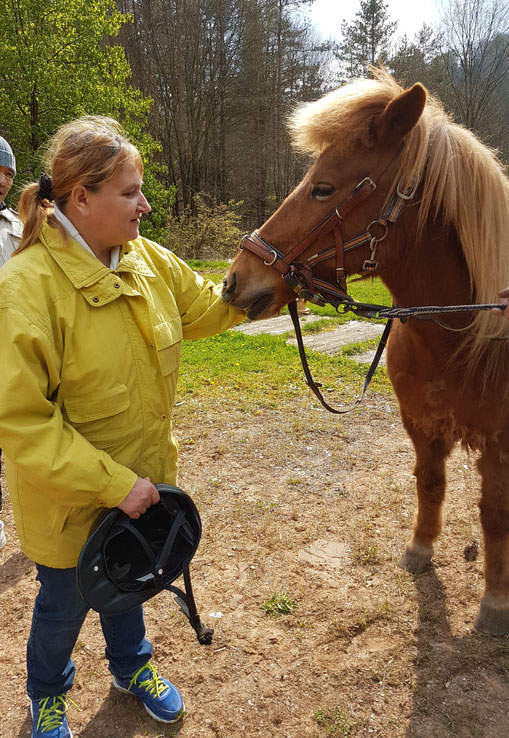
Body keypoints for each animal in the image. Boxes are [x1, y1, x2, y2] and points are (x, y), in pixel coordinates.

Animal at [223, 70, 509, 632]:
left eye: (323, 188)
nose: (234, 281)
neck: (461, 333)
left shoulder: (499, 447)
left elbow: (493, 514)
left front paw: (495, 600)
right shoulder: (418, 422)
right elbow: (430, 483)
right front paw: (421, 550)